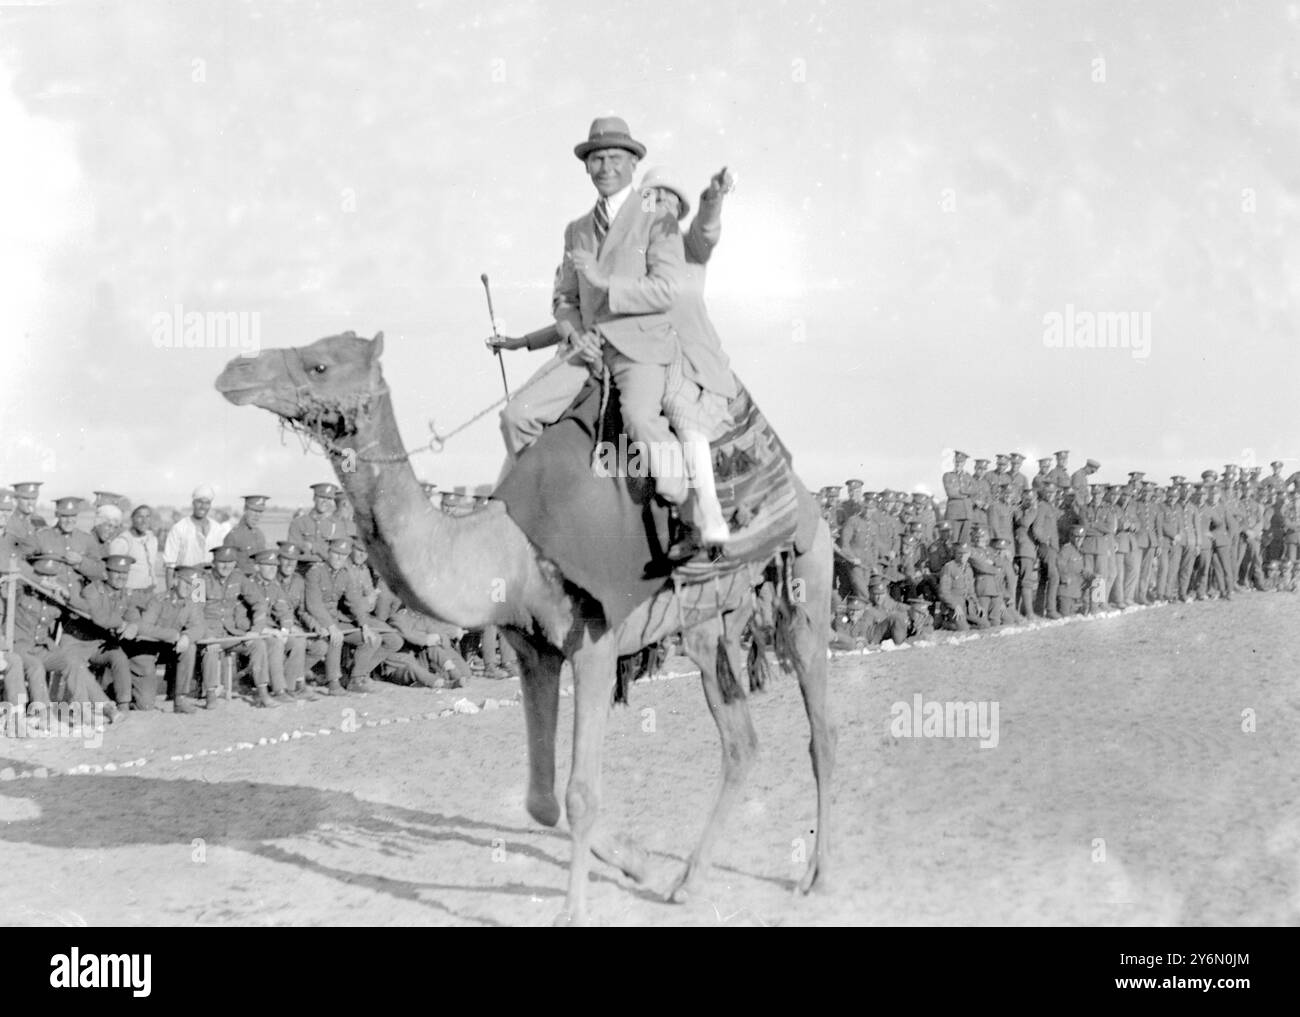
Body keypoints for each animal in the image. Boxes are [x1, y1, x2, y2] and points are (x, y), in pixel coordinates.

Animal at [218, 330, 837, 925]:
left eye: (320, 364)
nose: (234, 370)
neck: (502, 551)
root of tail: (806, 497)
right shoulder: (533, 653)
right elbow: (542, 799)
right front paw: (638, 862)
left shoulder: (594, 646)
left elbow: (580, 792)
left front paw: (574, 911)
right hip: (709, 627)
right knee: (740, 743)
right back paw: (688, 882)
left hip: (808, 581)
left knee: (819, 728)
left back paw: (816, 877)